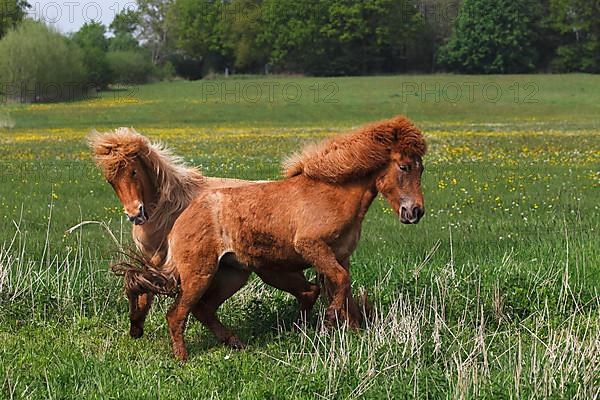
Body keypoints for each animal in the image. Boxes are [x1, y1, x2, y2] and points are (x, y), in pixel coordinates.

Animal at [89, 130, 322, 342]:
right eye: (110, 180)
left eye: (133, 172)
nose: (135, 214)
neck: (169, 208)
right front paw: (135, 326)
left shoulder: (161, 260)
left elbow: (145, 290)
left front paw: (136, 326)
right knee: (308, 291)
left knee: (309, 291)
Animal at [136, 115, 426, 360]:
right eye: (404, 166)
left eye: (421, 169)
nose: (415, 212)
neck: (333, 194)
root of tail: (180, 221)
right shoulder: (312, 247)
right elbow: (341, 283)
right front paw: (328, 321)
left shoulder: (341, 256)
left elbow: (345, 292)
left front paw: (352, 331)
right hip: (199, 275)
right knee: (176, 315)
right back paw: (183, 358)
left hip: (233, 275)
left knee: (203, 310)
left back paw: (235, 343)